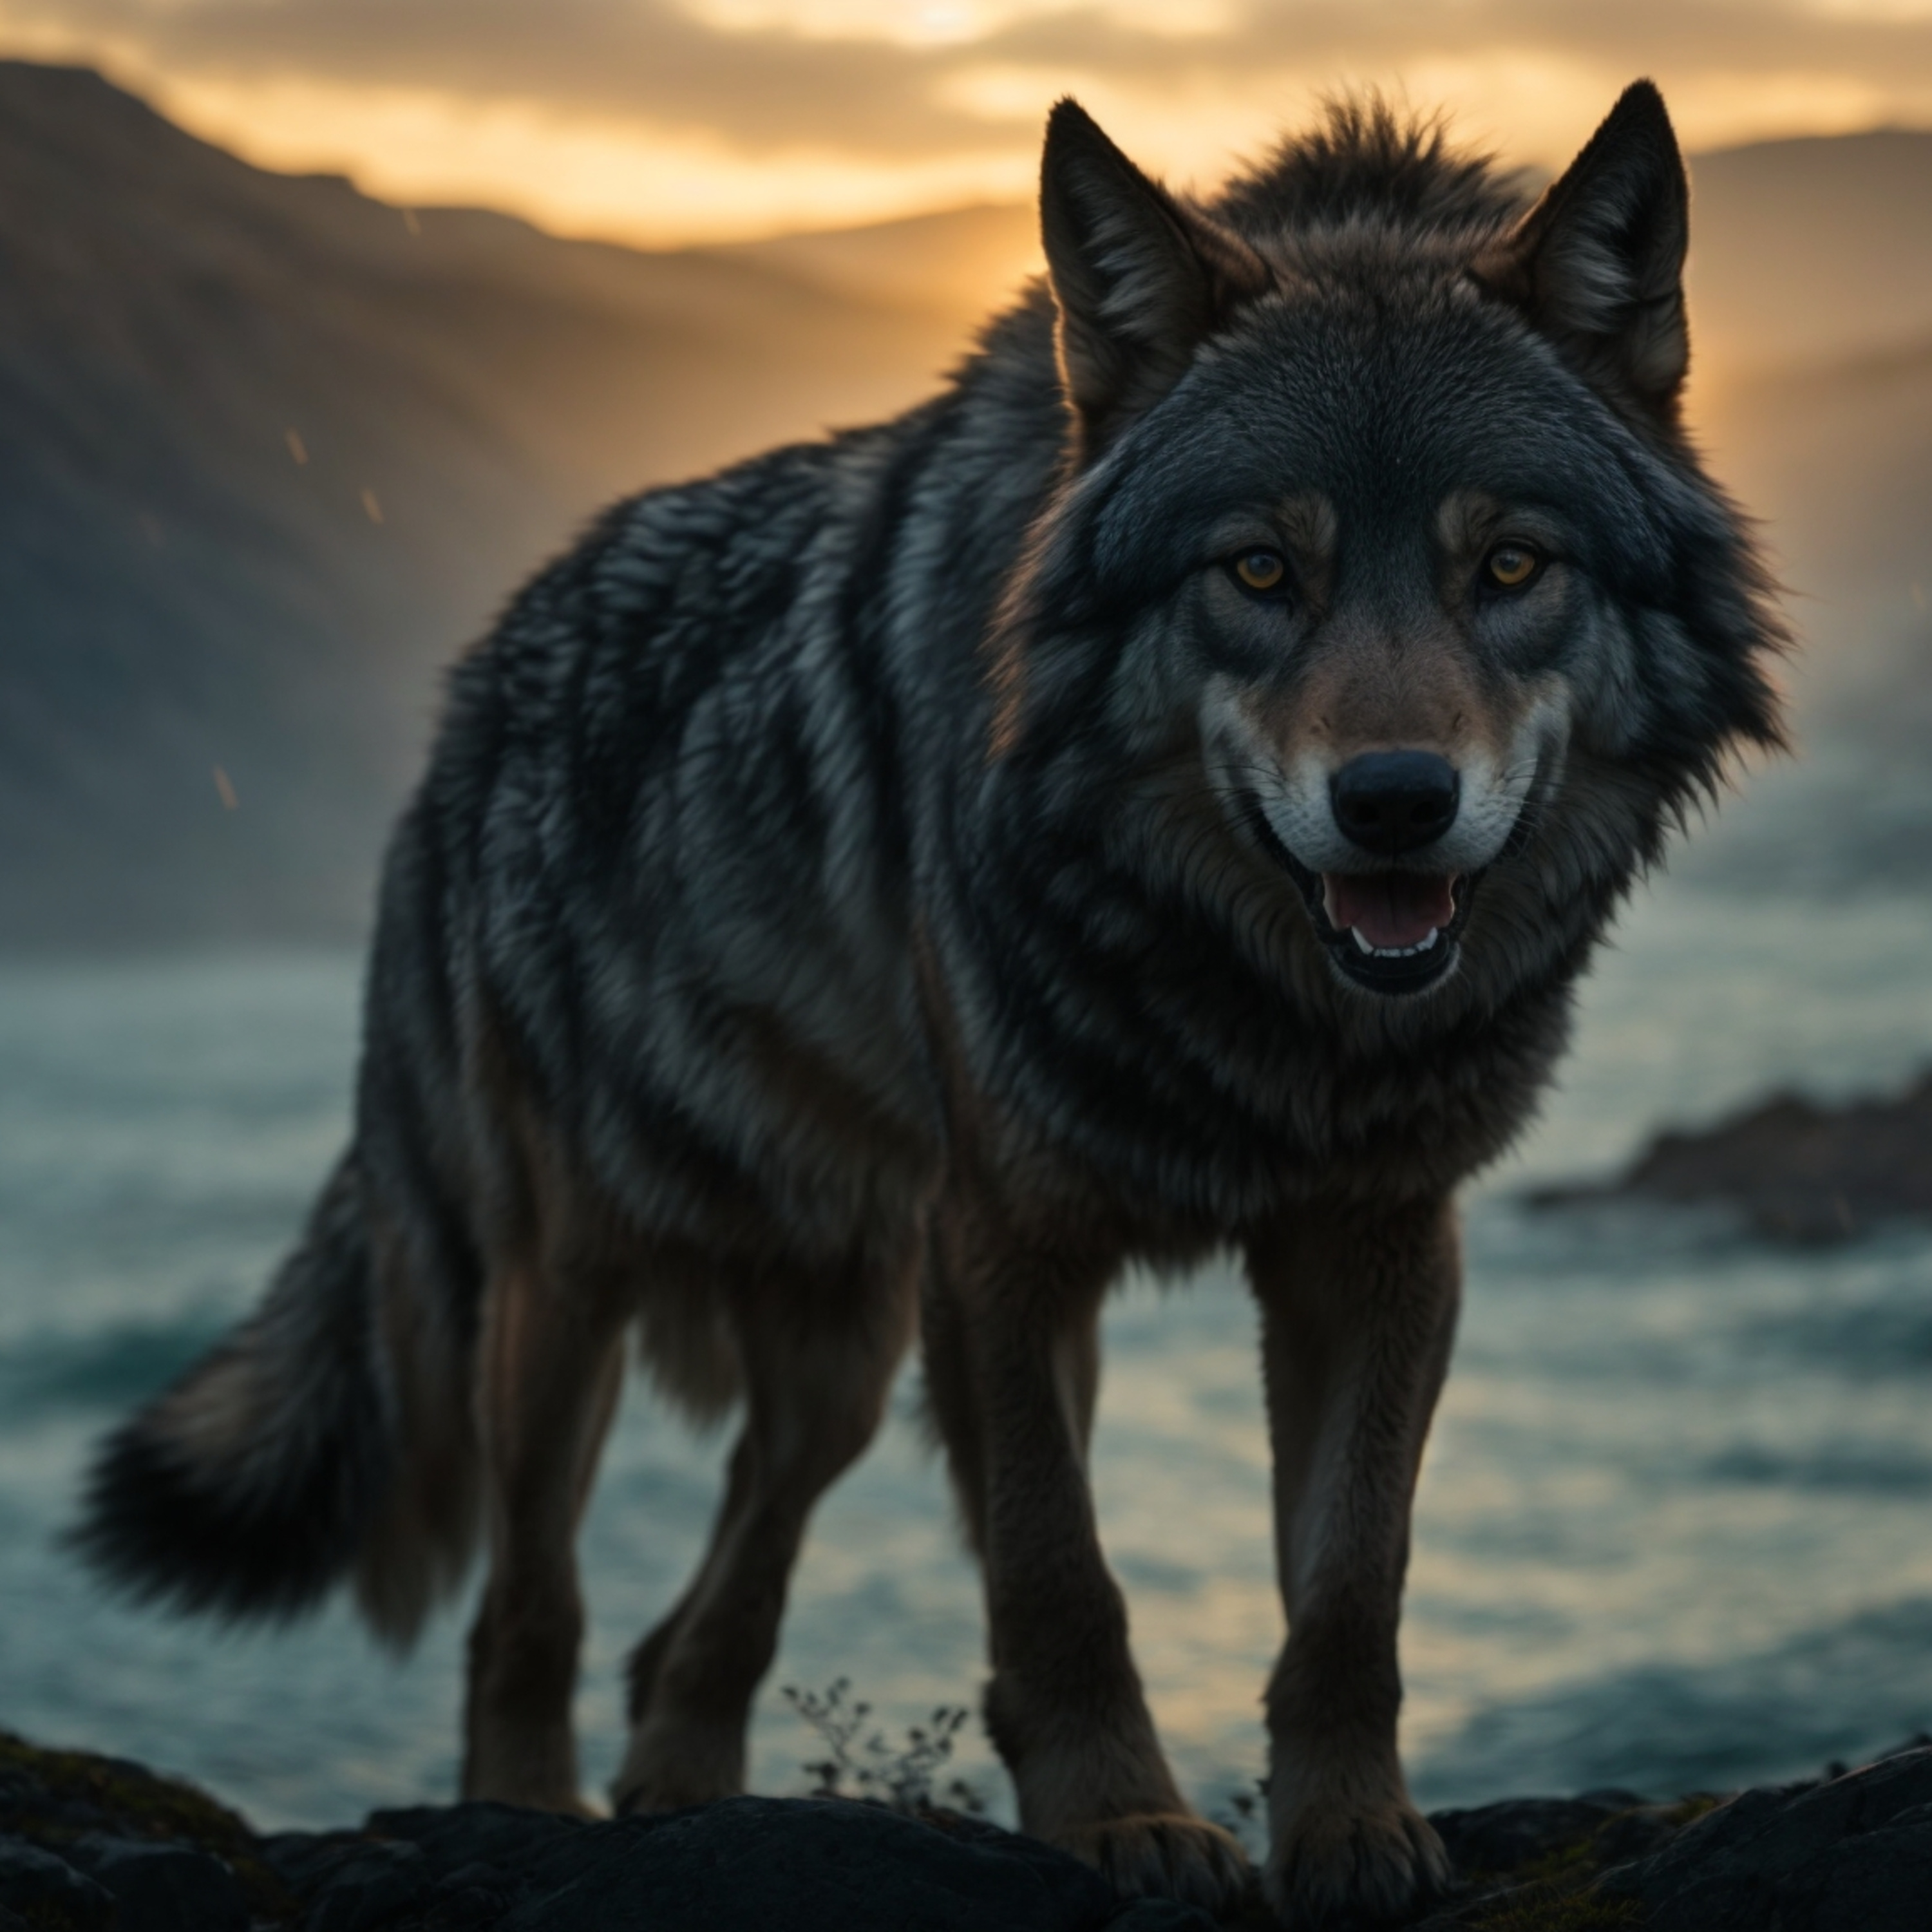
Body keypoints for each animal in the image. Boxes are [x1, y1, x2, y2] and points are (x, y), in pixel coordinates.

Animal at [78, 80, 1782, 1926]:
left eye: (1511, 565)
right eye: (1258, 571)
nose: (1395, 803)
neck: (1251, 997)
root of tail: (479, 680)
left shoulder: (1378, 1240)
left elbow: (1348, 1585)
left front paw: (1348, 1836)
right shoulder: (1006, 1243)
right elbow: (1057, 1575)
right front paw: (1121, 1824)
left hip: (849, 1344)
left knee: (710, 1602)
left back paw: (685, 1799)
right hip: (575, 1298)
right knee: (526, 1607)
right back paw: (530, 1813)